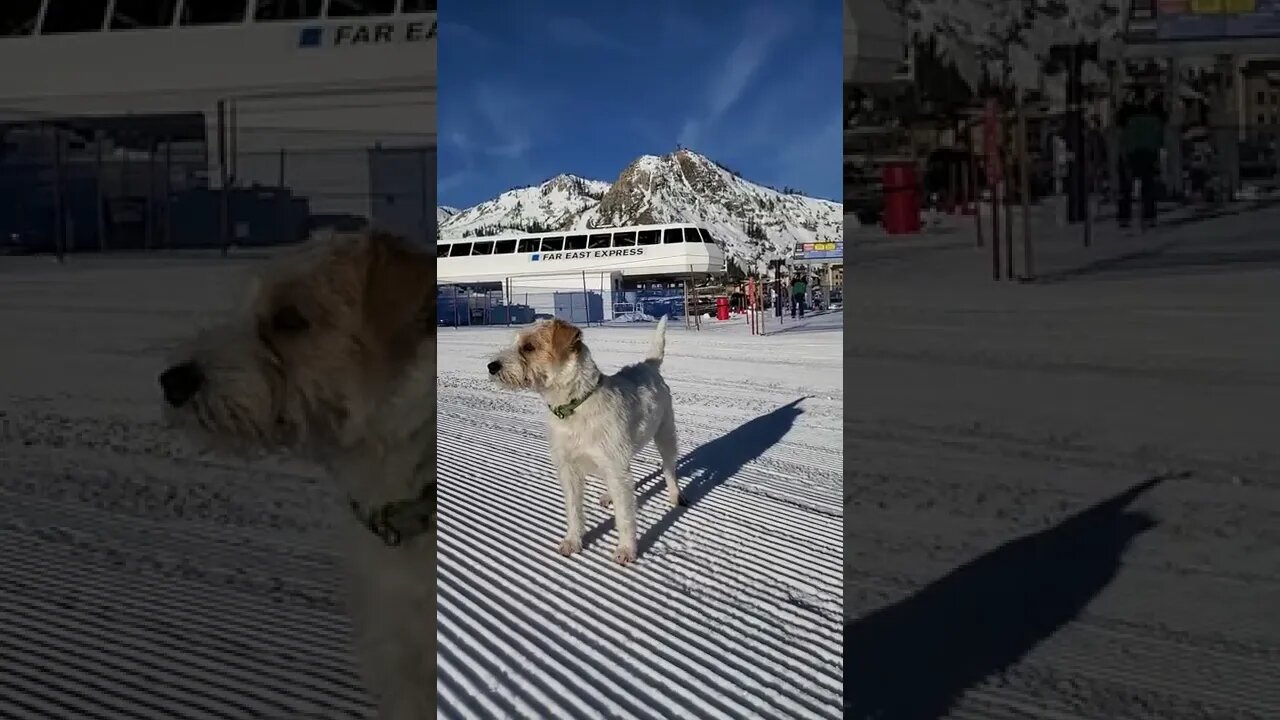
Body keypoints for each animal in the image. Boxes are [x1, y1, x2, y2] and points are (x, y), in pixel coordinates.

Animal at [488, 313, 686, 561]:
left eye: (529, 347)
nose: (491, 366)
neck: (575, 405)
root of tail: (649, 365)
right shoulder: (569, 469)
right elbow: (574, 511)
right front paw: (573, 541)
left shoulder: (614, 465)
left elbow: (625, 517)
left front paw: (626, 549)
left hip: (664, 436)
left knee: (669, 468)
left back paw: (675, 496)